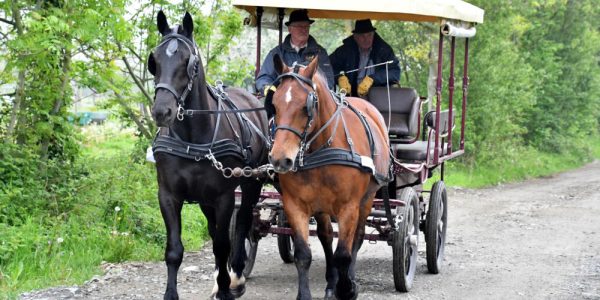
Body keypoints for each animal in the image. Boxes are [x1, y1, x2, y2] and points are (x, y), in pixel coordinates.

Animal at [146, 11, 268, 300]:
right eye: (154, 61)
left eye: (189, 62)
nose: (161, 111)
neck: (193, 138)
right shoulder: (168, 195)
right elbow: (174, 249)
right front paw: (171, 294)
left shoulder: (224, 196)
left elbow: (223, 244)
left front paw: (226, 287)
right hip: (204, 199)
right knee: (215, 230)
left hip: (251, 182)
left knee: (243, 223)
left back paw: (236, 275)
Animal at [266, 54, 390, 300]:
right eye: (274, 105)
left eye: (306, 106)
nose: (280, 159)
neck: (322, 150)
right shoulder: (295, 205)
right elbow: (303, 254)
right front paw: (307, 294)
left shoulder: (349, 207)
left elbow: (344, 253)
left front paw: (347, 288)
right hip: (322, 206)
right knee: (326, 235)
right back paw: (331, 282)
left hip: (367, 199)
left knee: (357, 237)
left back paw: (347, 279)